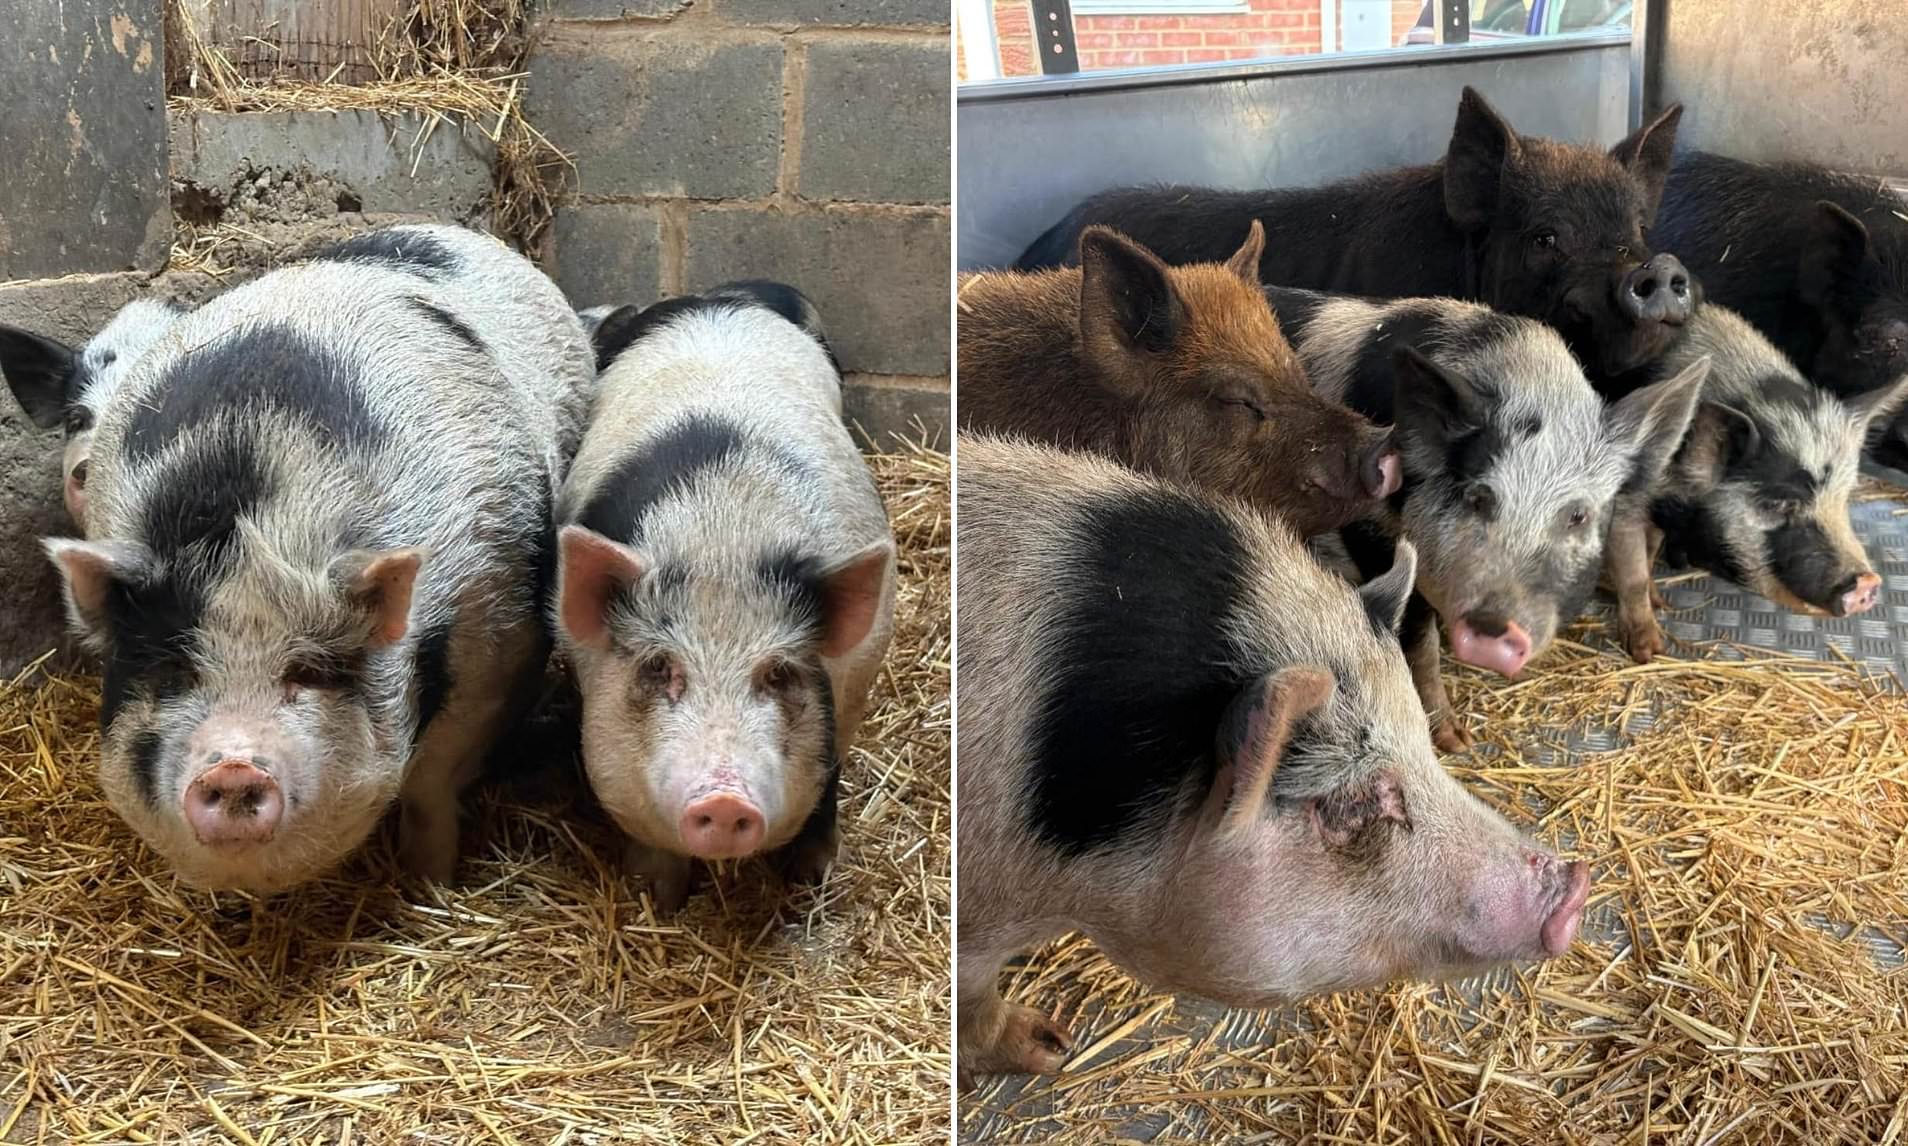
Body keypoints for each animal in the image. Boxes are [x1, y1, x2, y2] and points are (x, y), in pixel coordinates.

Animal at [41, 224, 595, 892]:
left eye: (304, 672)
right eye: (175, 671)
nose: (233, 769)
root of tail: (441, 231)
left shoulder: (496, 630)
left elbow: (432, 784)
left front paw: (429, 883)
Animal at [554, 281, 895, 914]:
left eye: (778, 673)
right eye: (661, 667)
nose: (725, 800)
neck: (723, 540)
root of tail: (726, 292)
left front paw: (811, 878)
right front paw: (657, 899)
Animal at [1265, 287, 1706, 750]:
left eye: (1578, 515)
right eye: (1476, 497)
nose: (1491, 629)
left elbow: (1631, 560)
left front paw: (1652, 649)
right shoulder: (1373, 533)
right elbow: (1417, 643)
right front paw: (1456, 741)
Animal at [1599, 305, 1908, 663]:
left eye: (1843, 498)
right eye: (1779, 503)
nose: (1868, 582)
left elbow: (1649, 550)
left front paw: (1660, 602)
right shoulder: (1624, 499)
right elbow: (1633, 574)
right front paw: (1650, 652)